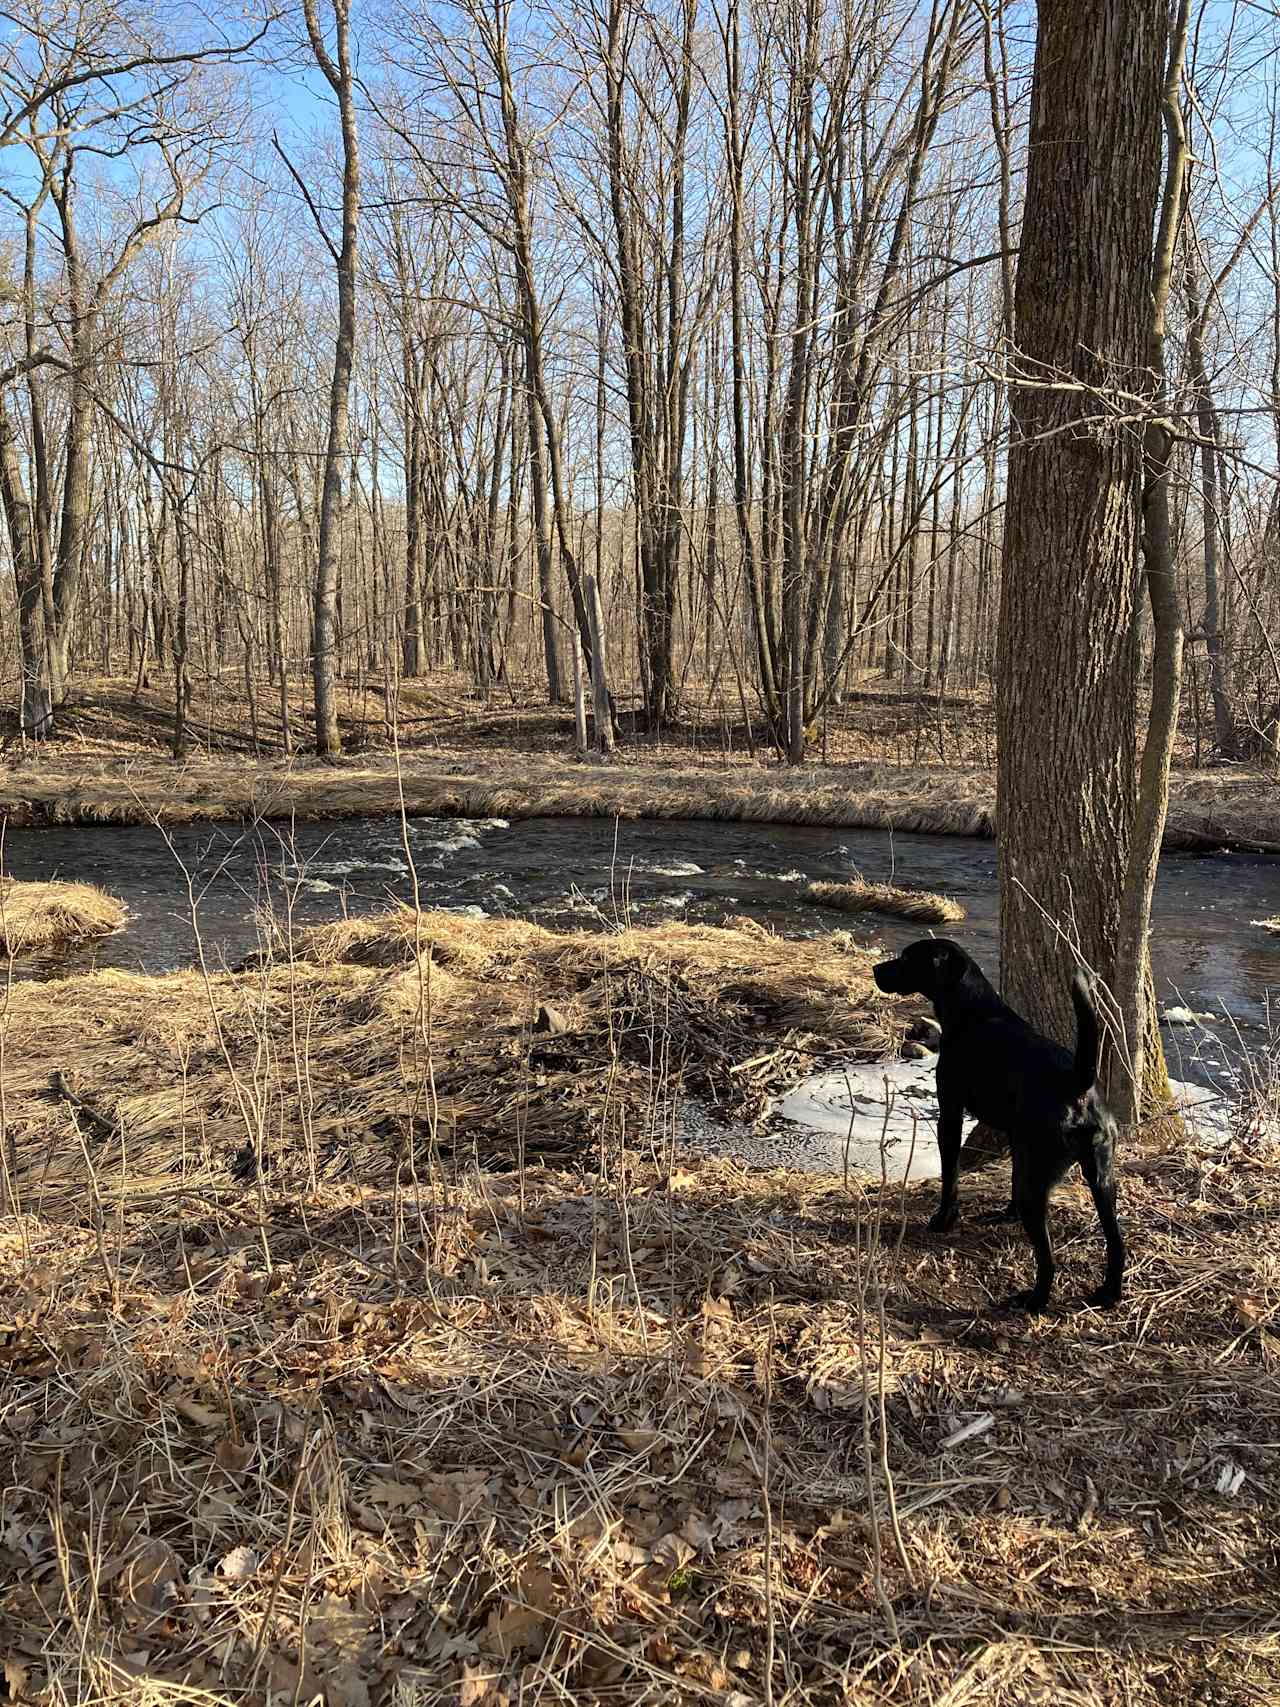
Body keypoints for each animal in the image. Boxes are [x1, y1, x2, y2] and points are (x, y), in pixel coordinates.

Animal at [880, 942, 1126, 1310]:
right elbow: (1010, 1175)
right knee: (1117, 1242)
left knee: (1048, 1259)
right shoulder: (1014, 1136)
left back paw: (1034, 1301)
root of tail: (1077, 1084)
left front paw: (943, 1219)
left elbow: (950, 1177)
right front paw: (1006, 1214)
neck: (973, 1011)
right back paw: (1109, 1293)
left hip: (1040, 1181)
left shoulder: (950, 1113)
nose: (876, 970)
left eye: (908, 958)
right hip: (1102, 1178)